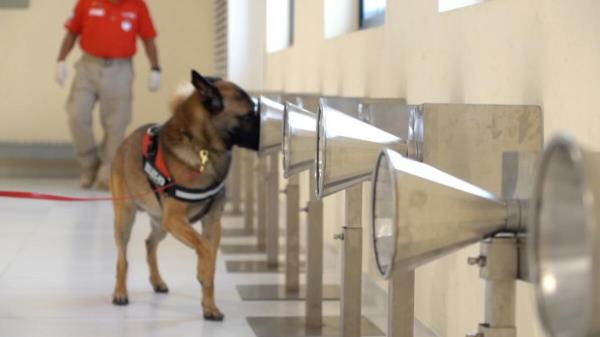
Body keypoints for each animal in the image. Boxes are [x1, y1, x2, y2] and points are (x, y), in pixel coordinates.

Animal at [110, 69, 260, 318]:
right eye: (248, 115)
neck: (203, 148)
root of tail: (125, 142)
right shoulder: (177, 220)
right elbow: (204, 249)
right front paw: (203, 273)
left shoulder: (211, 223)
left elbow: (210, 256)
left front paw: (209, 305)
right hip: (126, 219)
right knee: (123, 259)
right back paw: (120, 292)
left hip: (162, 223)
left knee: (149, 244)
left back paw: (157, 281)